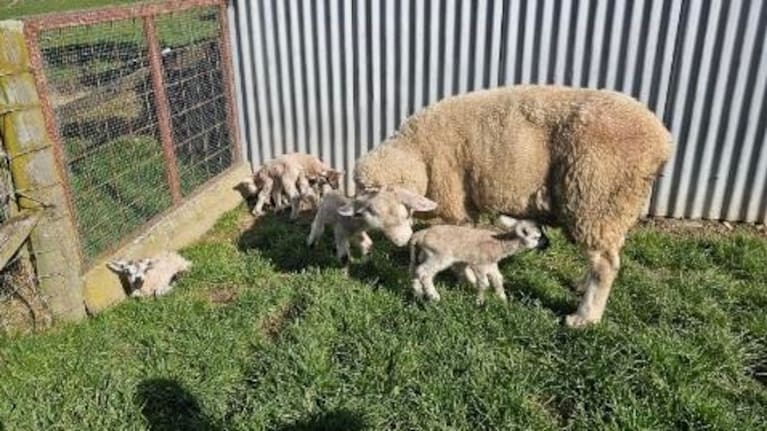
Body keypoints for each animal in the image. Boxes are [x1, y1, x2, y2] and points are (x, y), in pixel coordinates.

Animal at [306, 186, 438, 266]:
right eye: (371, 210)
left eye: (406, 215)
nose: (402, 241)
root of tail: (330, 191)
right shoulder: (341, 230)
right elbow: (344, 257)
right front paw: (345, 275)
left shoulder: (357, 232)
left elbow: (368, 244)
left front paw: (366, 261)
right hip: (322, 215)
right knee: (317, 228)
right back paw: (311, 244)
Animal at [409, 215, 548, 304]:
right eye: (537, 237)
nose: (547, 244)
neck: (500, 244)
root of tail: (420, 235)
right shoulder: (479, 264)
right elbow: (484, 283)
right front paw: (479, 302)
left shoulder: (491, 265)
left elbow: (498, 279)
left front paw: (503, 300)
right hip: (439, 255)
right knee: (424, 272)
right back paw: (434, 296)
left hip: (424, 254)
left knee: (415, 271)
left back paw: (418, 294)